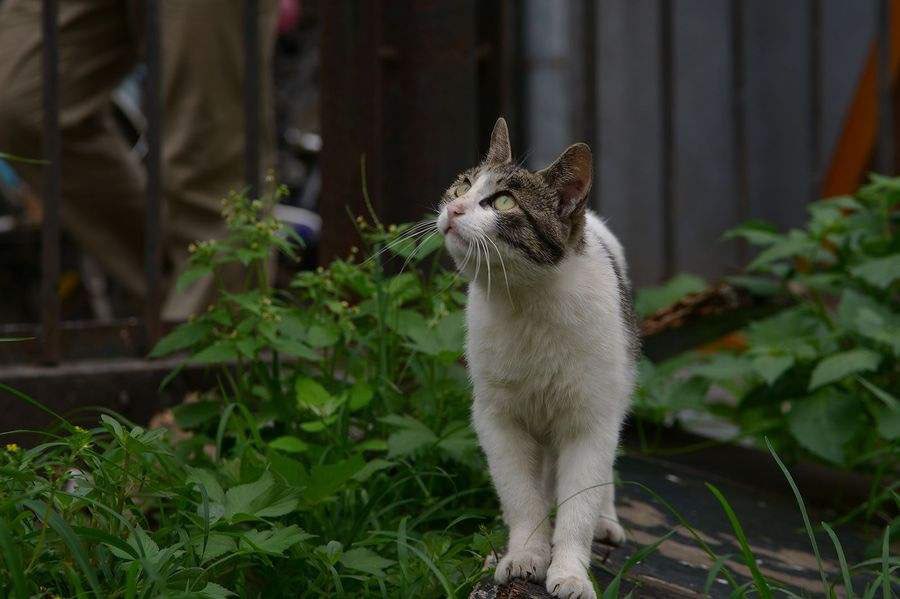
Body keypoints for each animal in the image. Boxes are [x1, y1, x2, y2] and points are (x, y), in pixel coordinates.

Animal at [434, 118, 632, 599]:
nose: (454, 209)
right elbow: (521, 497)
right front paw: (525, 554)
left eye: (503, 201)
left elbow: (579, 503)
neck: (526, 303)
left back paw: (606, 520)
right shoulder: (498, 418)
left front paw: (570, 573)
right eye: (462, 185)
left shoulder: (590, 420)